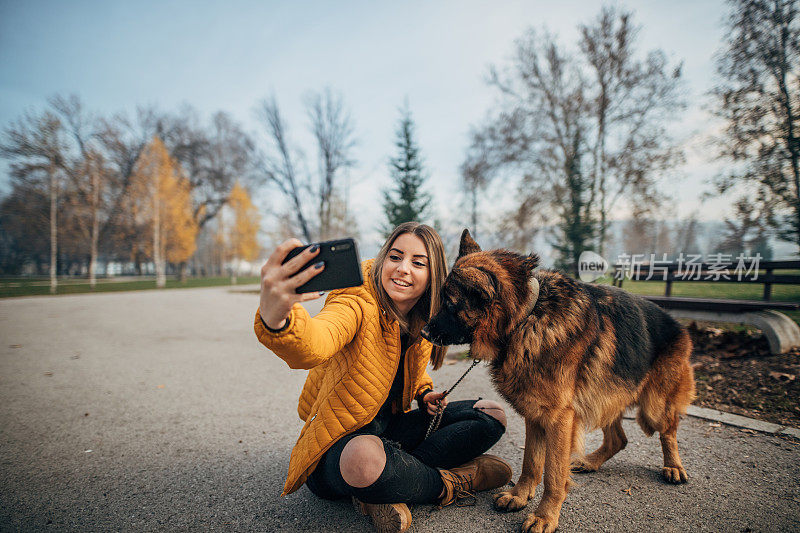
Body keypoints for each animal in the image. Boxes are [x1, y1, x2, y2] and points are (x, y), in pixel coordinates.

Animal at [424, 230, 692, 532]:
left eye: (449, 304)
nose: (423, 332)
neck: (526, 317)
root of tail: (678, 324)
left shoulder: (558, 419)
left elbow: (553, 474)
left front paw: (545, 516)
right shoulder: (536, 414)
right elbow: (531, 462)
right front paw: (520, 495)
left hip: (653, 405)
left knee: (669, 429)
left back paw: (674, 467)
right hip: (607, 396)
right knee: (619, 439)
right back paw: (591, 462)